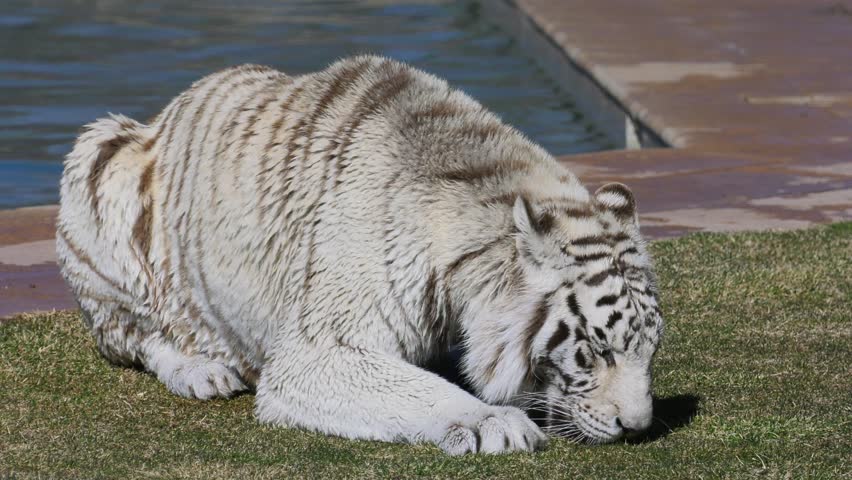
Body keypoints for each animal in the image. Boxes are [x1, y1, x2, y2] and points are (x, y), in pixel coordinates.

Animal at [56, 55, 664, 455]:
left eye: (649, 351)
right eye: (597, 351)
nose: (636, 428)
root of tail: (170, 109)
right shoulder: (318, 350)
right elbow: (416, 388)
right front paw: (496, 422)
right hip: (101, 152)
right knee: (135, 336)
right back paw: (201, 371)